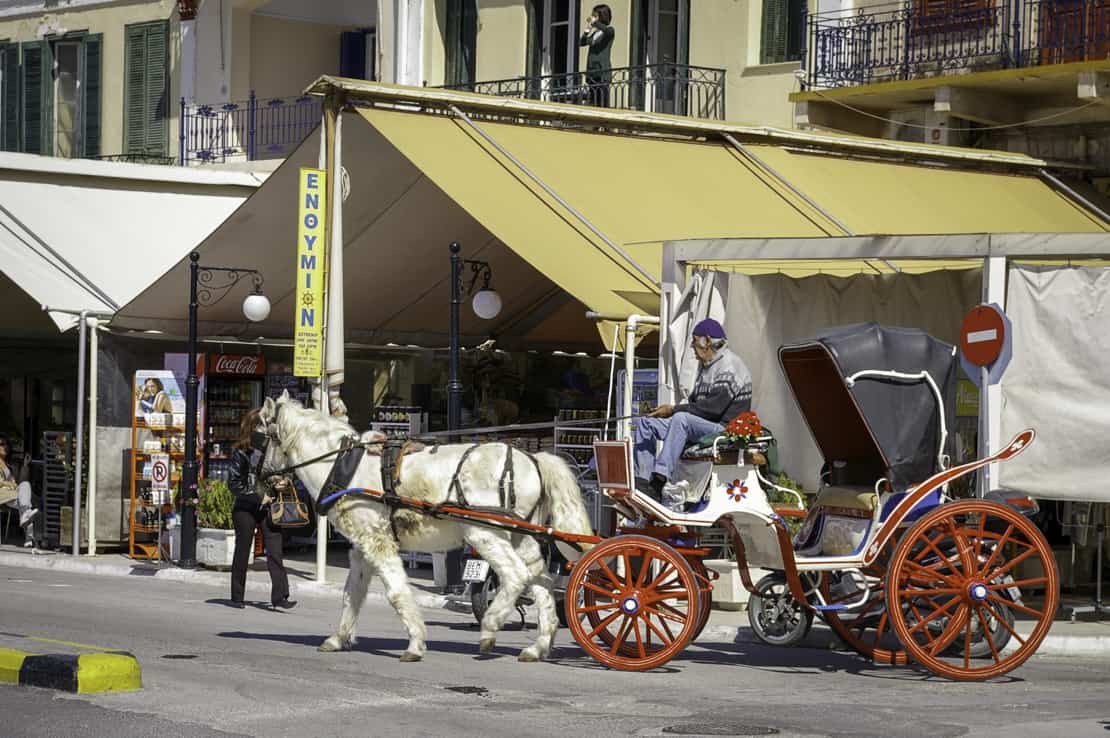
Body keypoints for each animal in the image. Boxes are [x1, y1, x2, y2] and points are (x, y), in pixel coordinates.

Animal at [257, 390, 599, 661]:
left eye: (263, 436)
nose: (260, 477)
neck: (342, 464)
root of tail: (532, 458)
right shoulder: (360, 548)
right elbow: (351, 594)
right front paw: (337, 638)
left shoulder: (378, 542)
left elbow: (396, 592)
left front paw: (415, 643)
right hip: (521, 537)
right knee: (542, 582)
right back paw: (538, 647)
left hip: (485, 532)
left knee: (516, 576)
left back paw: (490, 627)